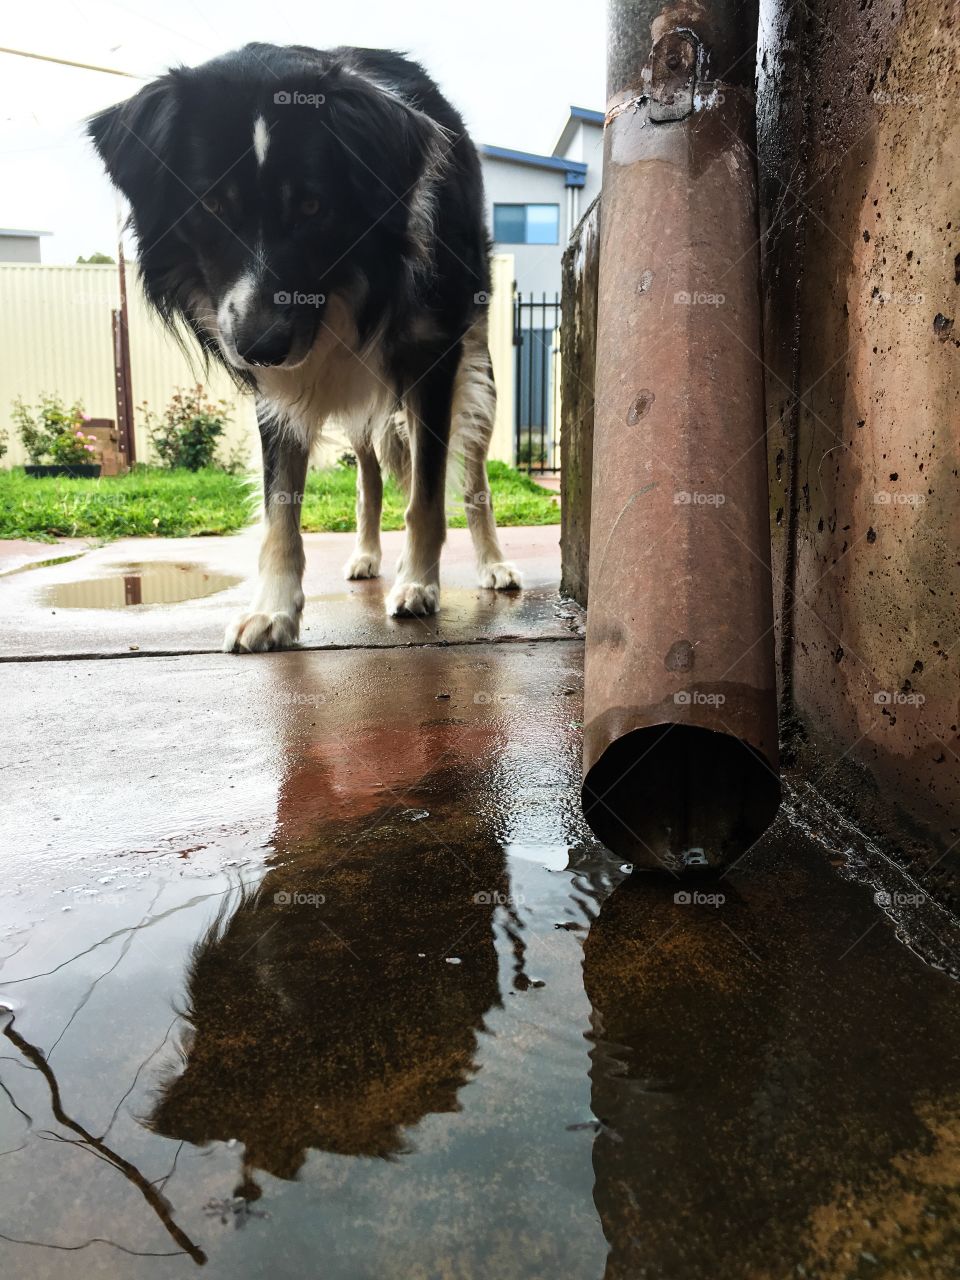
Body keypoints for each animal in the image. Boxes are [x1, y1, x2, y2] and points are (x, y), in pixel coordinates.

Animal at [89, 46, 522, 655]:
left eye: (314, 206)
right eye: (212, 205)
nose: (260, 348)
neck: (348, 285)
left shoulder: (432, 359)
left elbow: (427, 497)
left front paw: (418, 585)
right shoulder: (277, 392)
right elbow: (280, 508)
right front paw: (271, 611)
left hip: (476, 365)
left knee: (473, 473)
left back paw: (493, 565)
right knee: (369, 474)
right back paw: (365, 555)